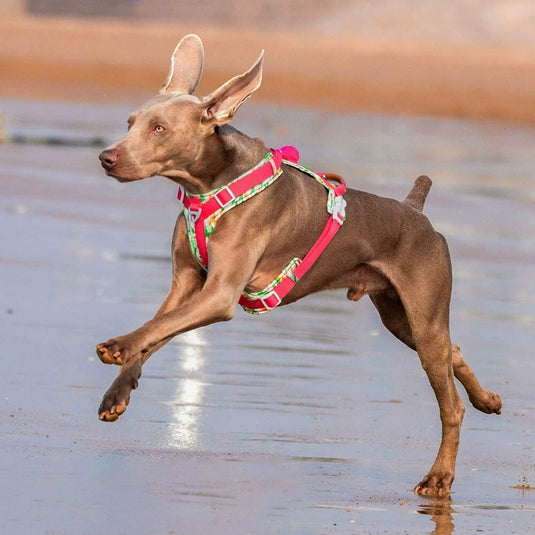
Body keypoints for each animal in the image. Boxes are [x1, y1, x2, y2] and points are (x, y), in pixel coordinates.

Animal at [96, 32, 502, 494]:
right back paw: (488, 400)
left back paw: (439, 476)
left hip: (424, 311)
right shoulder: (187, 283)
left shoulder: (219, 294)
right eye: (130, 122)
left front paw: (117, 345)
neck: (209, 184)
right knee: (453, 350)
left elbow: (157, 328)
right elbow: (157, 330)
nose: (106, 157)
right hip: (403, 318)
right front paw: (117, 394)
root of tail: (416, 211)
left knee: (450, 404)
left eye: (159, 129)